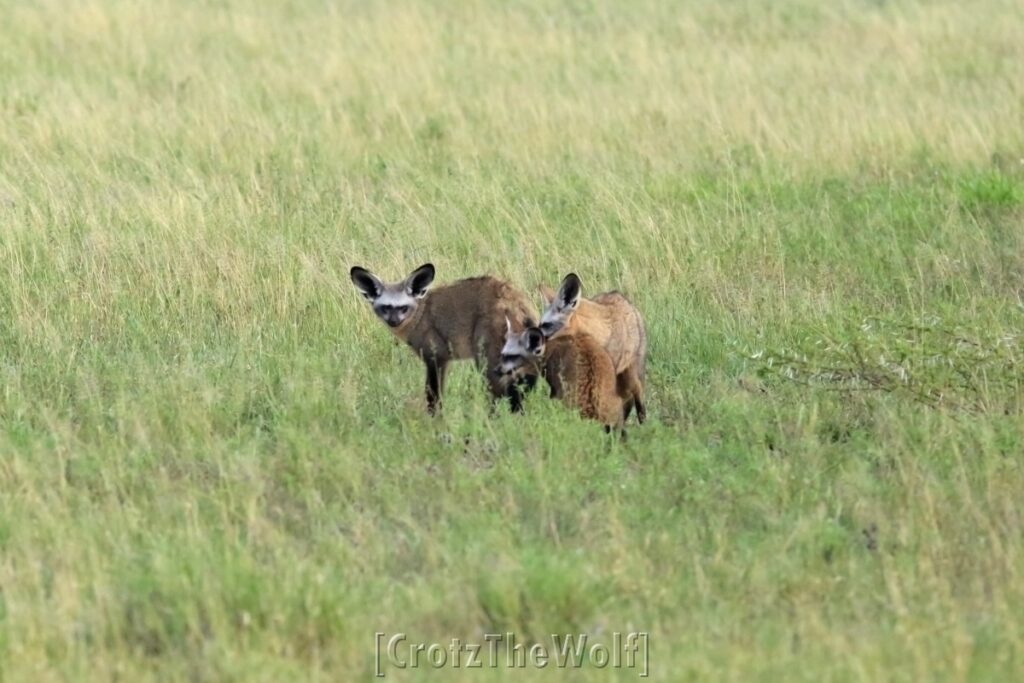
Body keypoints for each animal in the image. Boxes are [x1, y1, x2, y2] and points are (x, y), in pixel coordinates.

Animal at [350, 264, 540, 413]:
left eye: (402, 308)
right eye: (385, 307)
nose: (394, 322)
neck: (421, 313)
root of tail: (515, 299)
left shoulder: (436, 358)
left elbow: (433, 396)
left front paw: (435, 420)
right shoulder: (443, 361)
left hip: (486, 361)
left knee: (501, 394)